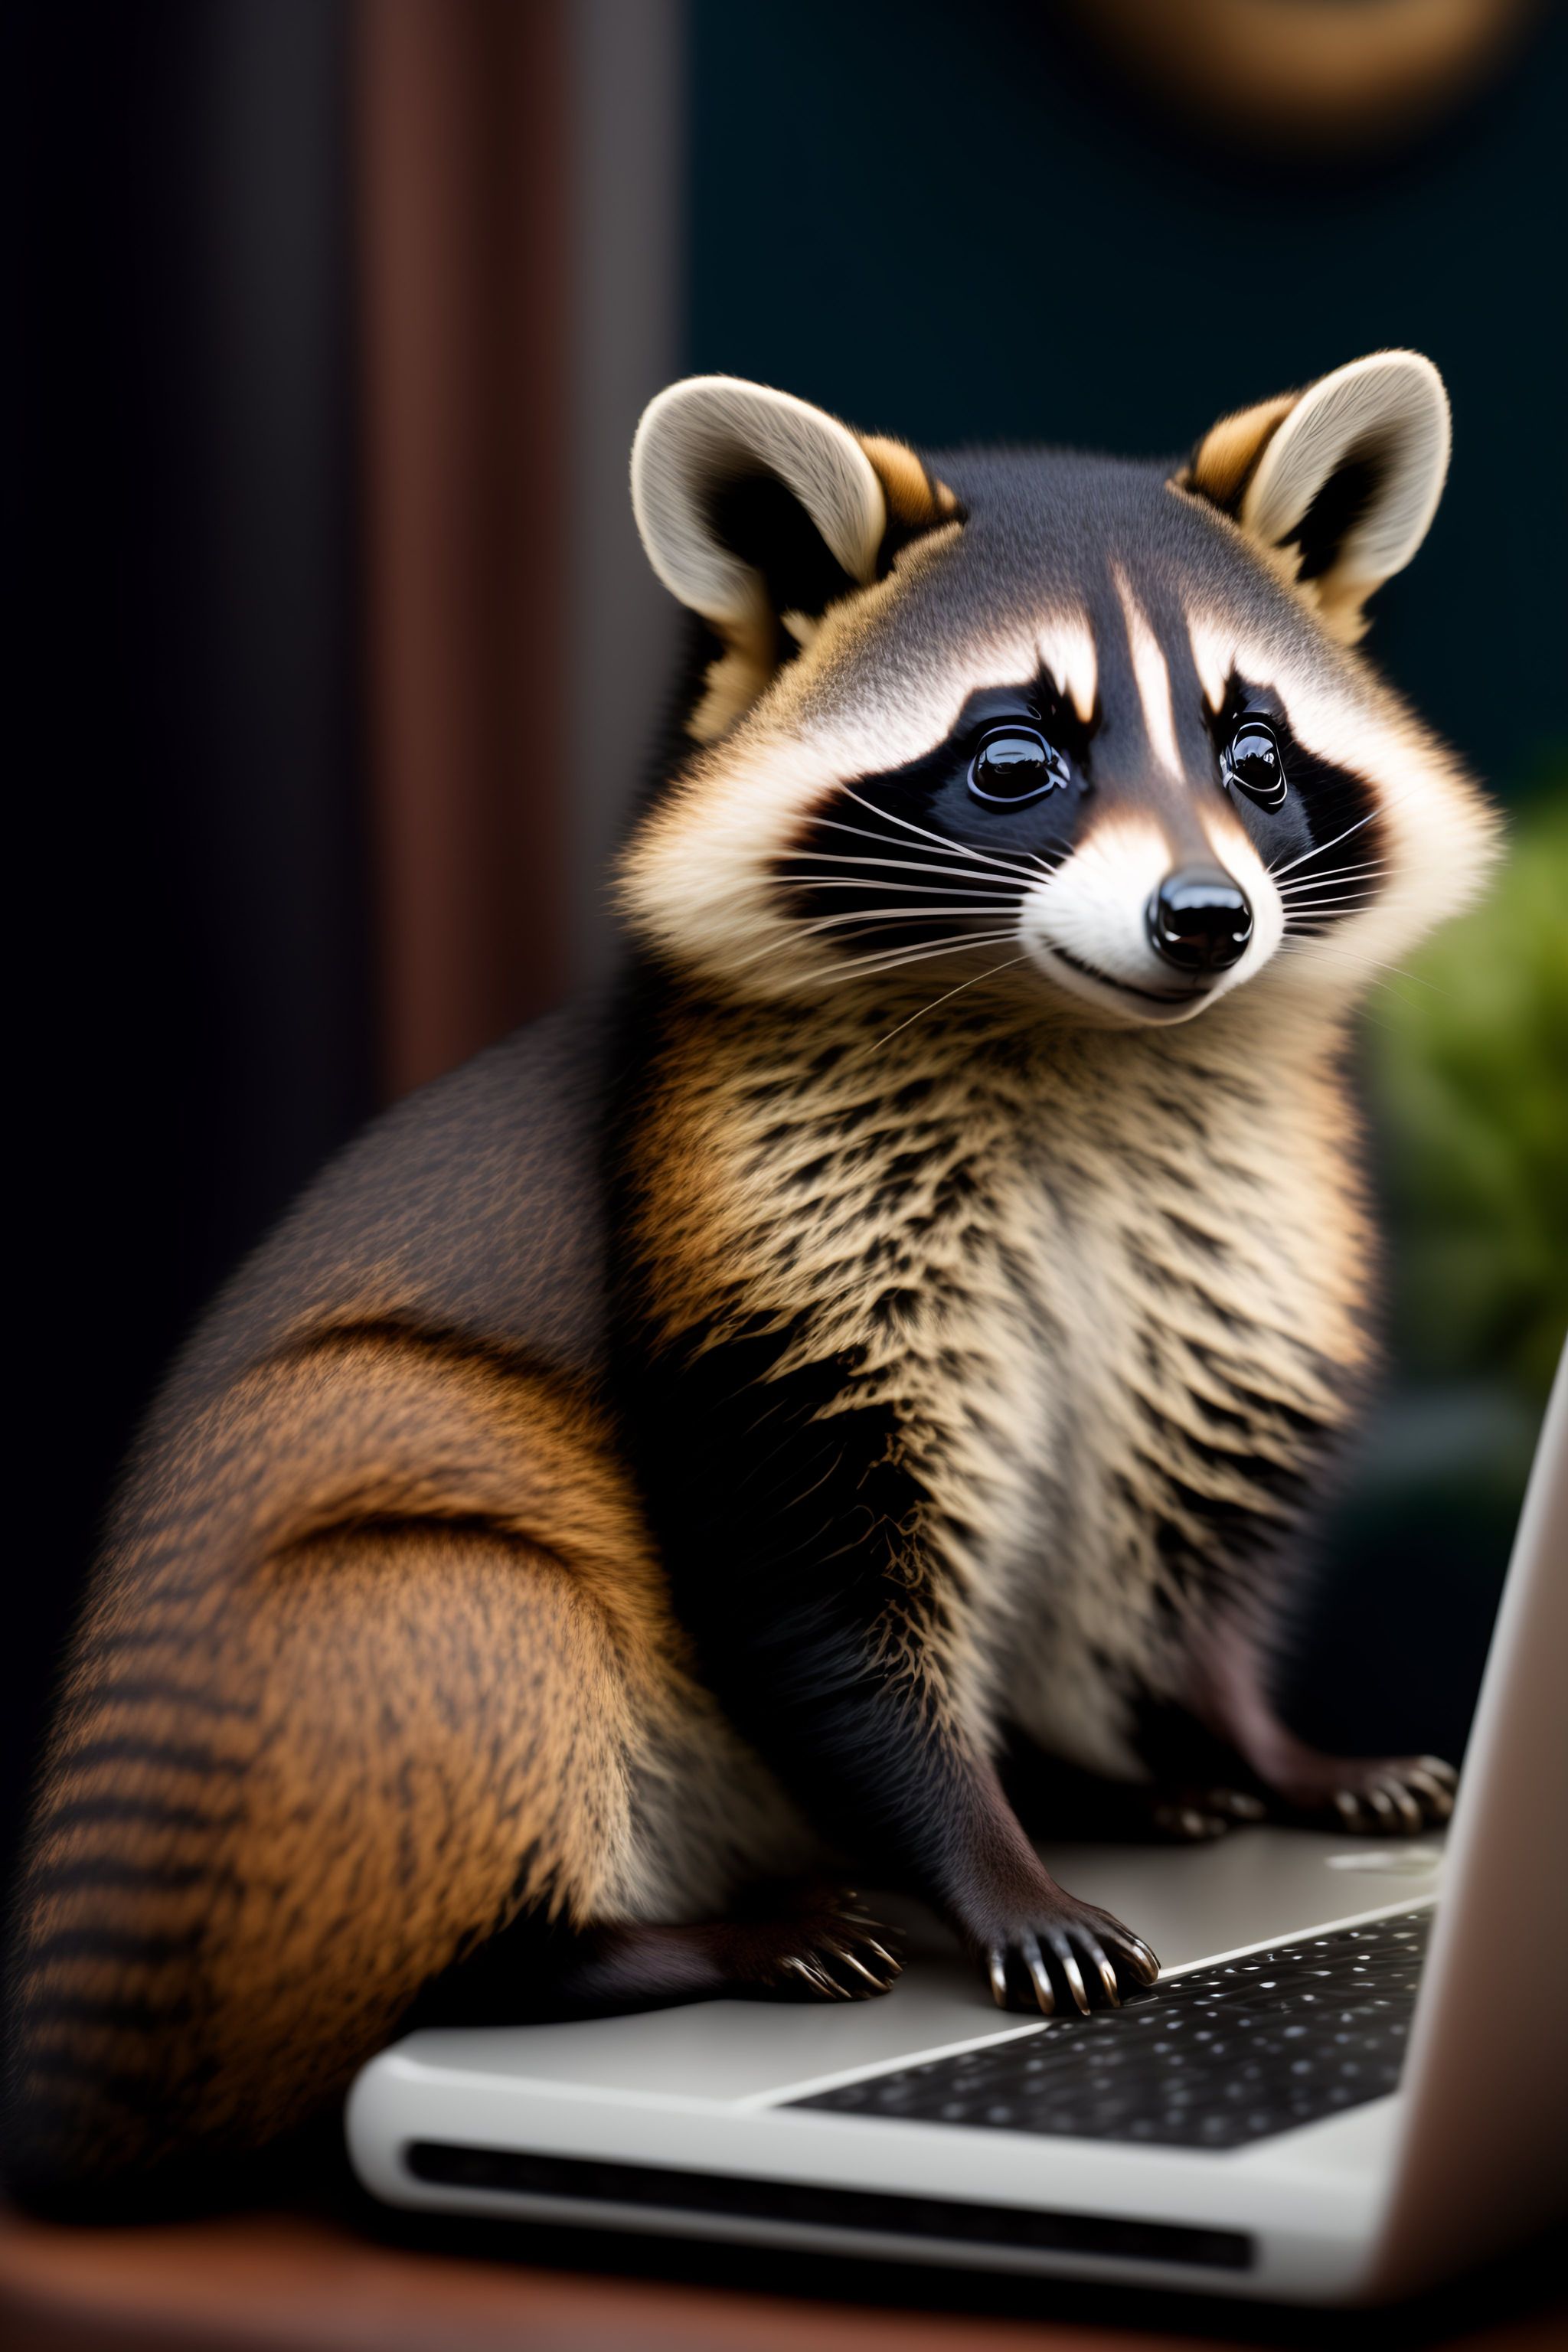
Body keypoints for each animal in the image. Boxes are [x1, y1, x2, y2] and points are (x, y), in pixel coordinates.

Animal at [6, 351, 1498, 2195]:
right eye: (1015, 759)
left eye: (1258, 753)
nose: (1207, 918)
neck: (1079, 1042)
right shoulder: (755, 1215)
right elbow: (814, 1586)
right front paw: (991, 1860)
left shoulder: (1218, 1243)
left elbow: (1187, 1532)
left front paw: (1249, 1742)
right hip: (322, 1662)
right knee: (473, 1615)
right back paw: (627, 1942)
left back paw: (1106, 1779)